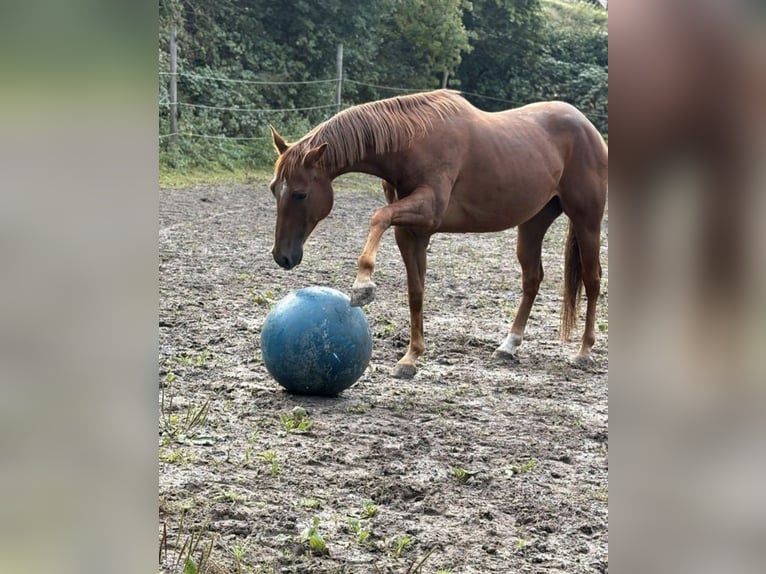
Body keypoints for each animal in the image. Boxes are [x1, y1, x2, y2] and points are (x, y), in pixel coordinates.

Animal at [268, 90, 608, 378]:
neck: (413, 141)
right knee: (532, 279)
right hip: (533, 224)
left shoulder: (426, 210)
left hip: (587, 221)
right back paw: (508, 345)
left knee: (592, 280)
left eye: (300, 194)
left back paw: (584, 352)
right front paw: (411, 357)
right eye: (274, 189)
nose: (282, 256)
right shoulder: (412, 232)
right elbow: (416, 291)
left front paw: (363, 285)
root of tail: (588, 128)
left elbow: (378, 217)